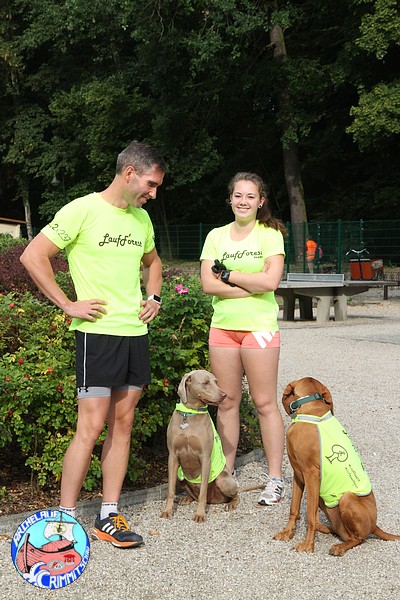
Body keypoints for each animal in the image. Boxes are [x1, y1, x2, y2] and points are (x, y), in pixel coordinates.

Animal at [160, 370, 261, 523]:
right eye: (206, 383)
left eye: (216, 382)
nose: (225, 394)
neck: (190, 414)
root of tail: (213, 500)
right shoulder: (172, 457)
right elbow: (170, 491)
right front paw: (167, 511)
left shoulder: (205, 458)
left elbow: (203, 492)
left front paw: (200, 514)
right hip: (180, 476)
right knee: (194, 494)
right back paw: (186, 498)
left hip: (223, 479)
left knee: (234, 495)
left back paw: (230, 504)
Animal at [274, 376, 400, 555]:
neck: (311, 408)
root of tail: (375, 526)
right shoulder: (298, 474)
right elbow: (294, 509)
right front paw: (287, 533)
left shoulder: (311, 475)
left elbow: (310, 516)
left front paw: (308, 545)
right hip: (322, 497)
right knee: (339, 530)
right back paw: (324, 528)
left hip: (346, 499)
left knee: (358, 539)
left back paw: (339, 547)